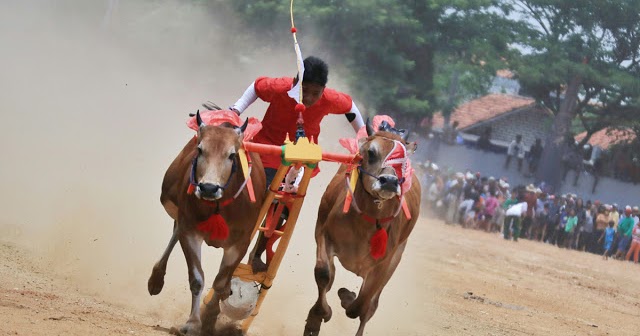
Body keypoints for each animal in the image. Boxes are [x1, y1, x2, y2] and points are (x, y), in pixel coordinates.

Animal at [148, 112, 264, 336]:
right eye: (200, 149)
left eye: (231, 155)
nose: (208, 188)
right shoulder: (190, 231)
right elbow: (197, 278)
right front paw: (193, 323)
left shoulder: (240, 243)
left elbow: (220, 282)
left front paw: (210, 317)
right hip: (173, 205)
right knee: (175, 231)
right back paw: (156, 279)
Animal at [304, 121, 420, 336]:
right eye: (371, 153)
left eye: (404, 161)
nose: (390, 181)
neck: (367, 223)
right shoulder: (323, 234)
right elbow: (324, 274)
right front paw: (319, 316)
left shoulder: (383, 264)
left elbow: (361, 305)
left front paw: (347, 297)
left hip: (394, 260)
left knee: (371, 306)